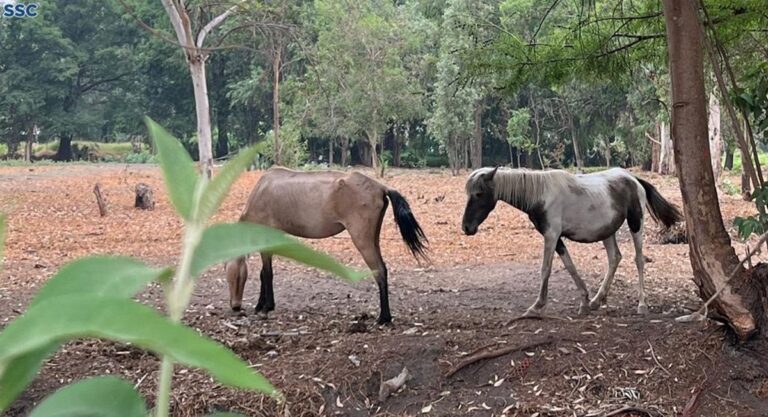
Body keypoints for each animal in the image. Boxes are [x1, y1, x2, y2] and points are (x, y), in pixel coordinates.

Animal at [226, 167, 429, 324]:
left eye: (235, 277)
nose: (235, 306)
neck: (262, 191)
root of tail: (381, 187)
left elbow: (267, 273)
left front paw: (267, 307)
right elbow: (263, 273)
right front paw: (260, 305)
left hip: (362, 239)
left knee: (379, 270)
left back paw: (383, 317)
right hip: (373, 238)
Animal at [461, 167, 681, 317]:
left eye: (479, 193)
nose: (466, 227)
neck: (540, 194)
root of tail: (633, 179)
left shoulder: (551, 235)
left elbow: (545, 269)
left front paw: (536, 306)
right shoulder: (556, 238)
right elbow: (570, 266)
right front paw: (584, 300)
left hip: (636, 224)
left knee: (639, 260)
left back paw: (641, 304)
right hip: (607, 231)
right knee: (614, 258)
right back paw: (597, 300)